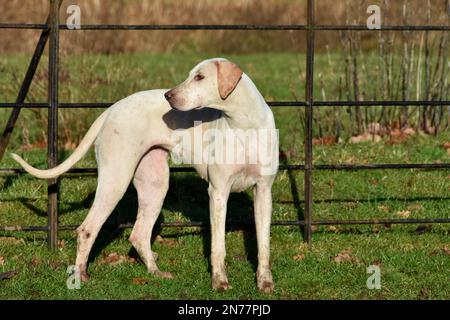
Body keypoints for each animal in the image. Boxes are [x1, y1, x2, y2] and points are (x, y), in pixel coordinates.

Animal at [13, 57, 278, 292]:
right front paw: (220, 282)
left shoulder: (264, 193)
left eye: (200, 77)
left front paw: (265, 283)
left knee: (139, 235)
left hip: (155, 185)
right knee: (87, 229)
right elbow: (218, 246)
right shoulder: (218, 192)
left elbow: (264, 246)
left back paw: (156, 272)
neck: (244, 126)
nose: (168, 96)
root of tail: (111, 109)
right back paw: (81, 275)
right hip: (116, 181)